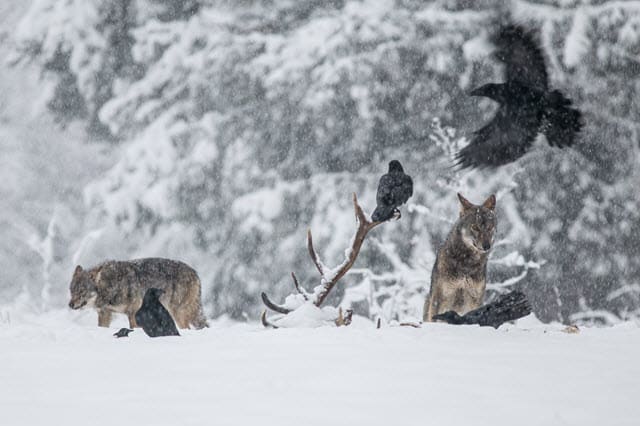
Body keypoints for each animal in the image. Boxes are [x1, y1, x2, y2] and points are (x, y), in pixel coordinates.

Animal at [70, 256, 210, 330]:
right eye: (71, 290)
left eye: (81, 291)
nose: (70, 305)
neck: (110, 285)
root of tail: (195, 273)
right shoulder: (105, 313)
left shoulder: (133, 312)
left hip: (178, 313)